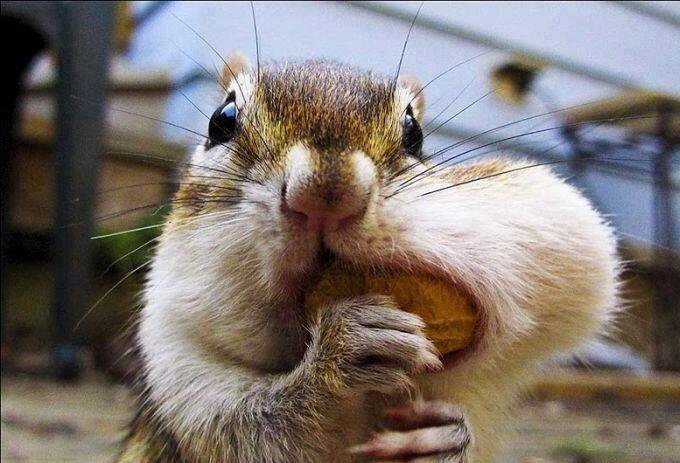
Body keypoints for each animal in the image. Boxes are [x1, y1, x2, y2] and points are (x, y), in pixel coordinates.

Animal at [117, 55, 620, 462]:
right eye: (221, 120)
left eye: (414, 133)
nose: (326, 194)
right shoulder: (182, 379)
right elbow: (255, 432)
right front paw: (348, 349)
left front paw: (445, 439)